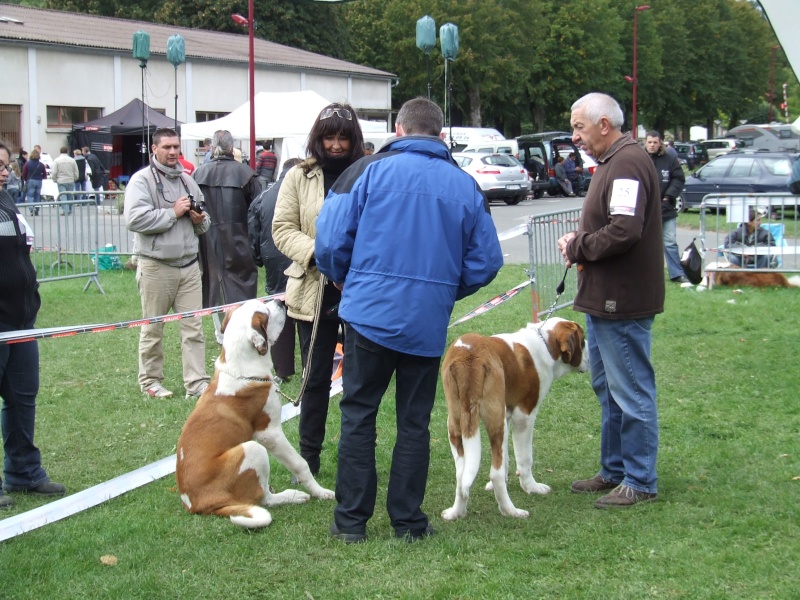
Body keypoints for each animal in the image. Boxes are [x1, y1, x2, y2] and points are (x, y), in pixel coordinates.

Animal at [175, 298, 334, 528]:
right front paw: (320, 491)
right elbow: (300, 463)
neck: (240, 369)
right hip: (252, 448)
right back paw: (293, 496)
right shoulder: (270, 433)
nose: (280, 301)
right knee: (264, 499)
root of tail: (197, 504)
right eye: (265, 313)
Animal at [440, 318, 592, 520]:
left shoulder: (506, 415)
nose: (591, 356)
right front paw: (531, 487)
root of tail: (468, 358)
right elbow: (525, 458)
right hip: (495, 420)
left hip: (458, 422)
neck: (544, 342)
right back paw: (511, 511)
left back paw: (456, 512)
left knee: (462, 475)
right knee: (494, 473)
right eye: (582, 341)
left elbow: (504, 457)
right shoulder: (524, 416)